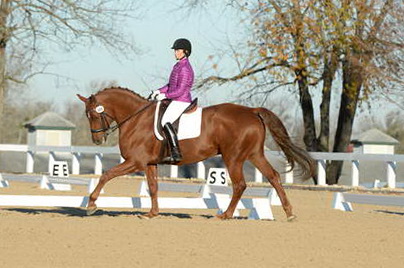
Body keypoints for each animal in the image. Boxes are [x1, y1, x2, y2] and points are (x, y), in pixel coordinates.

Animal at [76, 87, 316, 221]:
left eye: (93, 115)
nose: (97, 140)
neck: (136, 118)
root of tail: (251, 111)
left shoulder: (135, 161)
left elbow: (106, 175)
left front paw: (91, 205)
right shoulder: (149, 163)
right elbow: (153, 187)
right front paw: (152, 213)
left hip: (233, 157)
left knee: (240, 185)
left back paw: (225, 215)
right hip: (254, 154)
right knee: (273, 177)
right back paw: (289, 213)